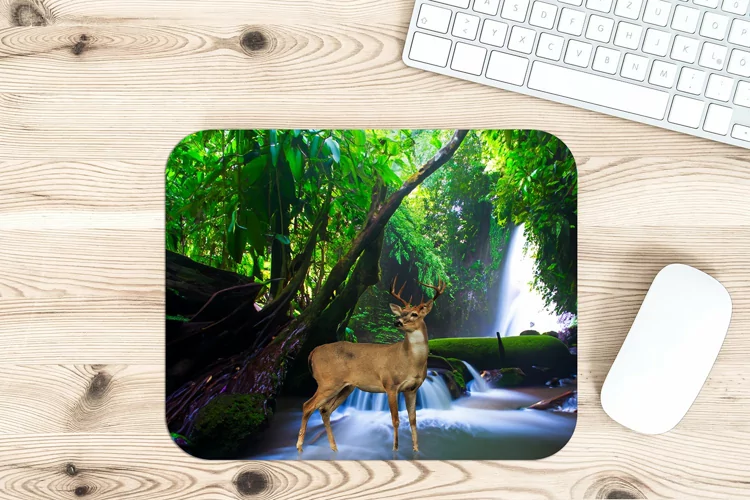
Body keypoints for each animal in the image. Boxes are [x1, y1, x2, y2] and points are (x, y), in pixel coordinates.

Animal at [296, 276, 446, 454]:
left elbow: (413, 420)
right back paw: (300, 447)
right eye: (402, 312)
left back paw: (334, 447)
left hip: (346, 387)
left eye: (414, 314)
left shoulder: (413, 389)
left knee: (324, 410)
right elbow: (395, 420)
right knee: (307, 405)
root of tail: (312, 353)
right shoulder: (390, 384)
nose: (397, 322)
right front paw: (395, 449)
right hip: (328, 382)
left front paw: (416, 450)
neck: (410, 361)